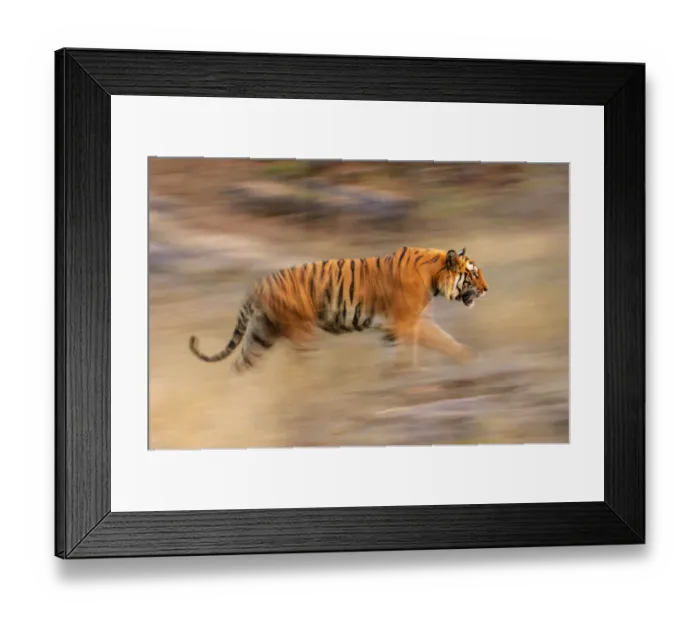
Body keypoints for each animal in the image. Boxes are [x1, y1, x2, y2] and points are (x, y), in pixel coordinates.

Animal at [188, 246, 488, 373]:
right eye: (473, 274)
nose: (486, 289)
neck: (434, 278)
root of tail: (258, 285)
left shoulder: (394, 328)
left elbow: (396, 354)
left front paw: (392, 377)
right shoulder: (407, 323)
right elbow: (442, 341)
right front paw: (470, 358)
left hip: (261, 333)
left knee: (240, 365)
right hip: (301, 331)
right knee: (301, 367)